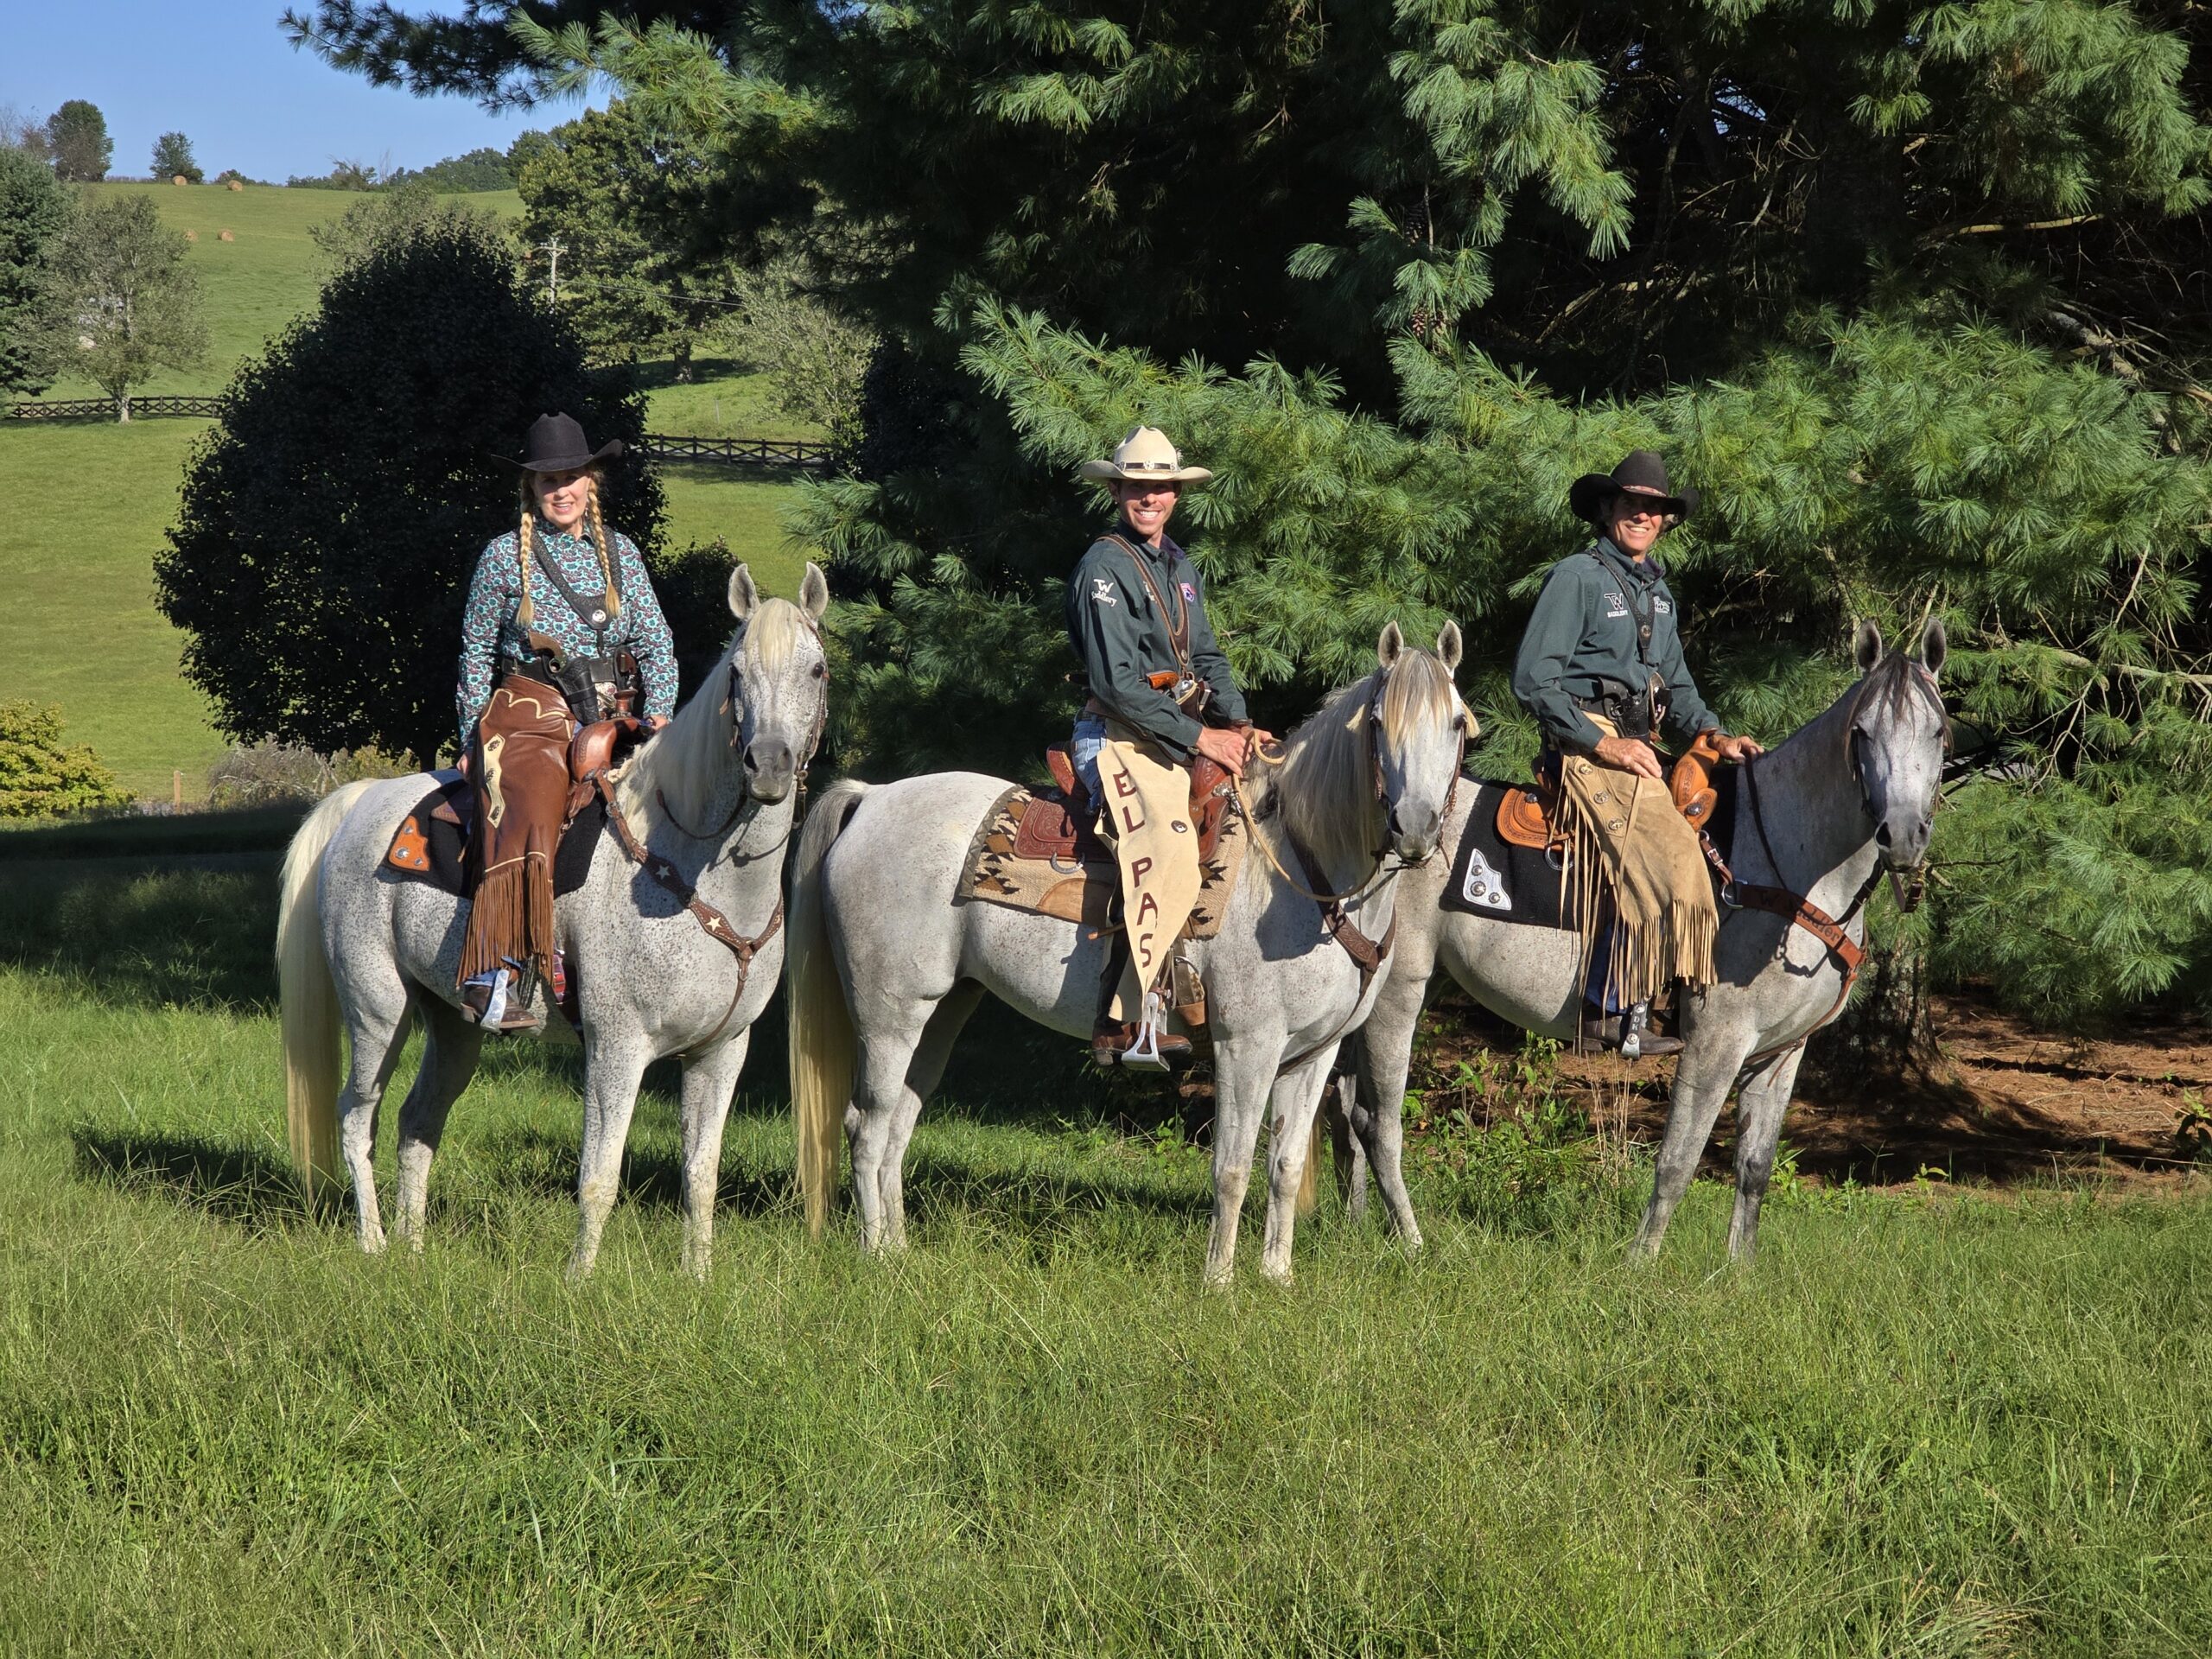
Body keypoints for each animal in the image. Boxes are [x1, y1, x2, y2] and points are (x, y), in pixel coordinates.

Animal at [276, 564, 833, 1277]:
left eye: (816, 669)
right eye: (737, 671)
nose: (768, 763)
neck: (697, 869)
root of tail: (360, 802)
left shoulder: (720, 1051)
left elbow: (700, 1175)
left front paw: (697, 1278)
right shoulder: (617, 1047)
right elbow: (599, 1175)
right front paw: (581, 1279)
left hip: (451, 1024)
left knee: (416, 1122)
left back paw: (412, 1245)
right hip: (377, 1009)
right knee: (356, 1115)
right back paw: (372, 1242)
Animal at [784, 623, 1473, 1286]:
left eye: (1458, 724)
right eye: (1380, 723)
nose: (1415, 827)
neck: (1297, 869)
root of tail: (871, 798)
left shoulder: (1314, 1053)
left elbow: (1282, 1166)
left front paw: (1277, 1278)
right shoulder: (1246, 1046)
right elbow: (1231, 1168)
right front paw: (1220, 1284)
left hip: (944, 1010)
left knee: (900, 1123)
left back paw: (900, 1251)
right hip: (889, 1016)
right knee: (867, 1126)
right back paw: (876, 1257)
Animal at [1328, 619, 1950, 1263]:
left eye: (1939, 730)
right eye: (1862, 732)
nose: (1903, 835)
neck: (1785, 862)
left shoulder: (1782, 1051)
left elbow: (1754, 1169)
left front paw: (1738, 1272)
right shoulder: (1716, 1043)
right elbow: (1678, 1161)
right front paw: (1640, 1264)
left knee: (1344, 1107)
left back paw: (1357, 1228)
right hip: (1399, 994)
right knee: (1377, 1120)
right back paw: (1410, 1241)